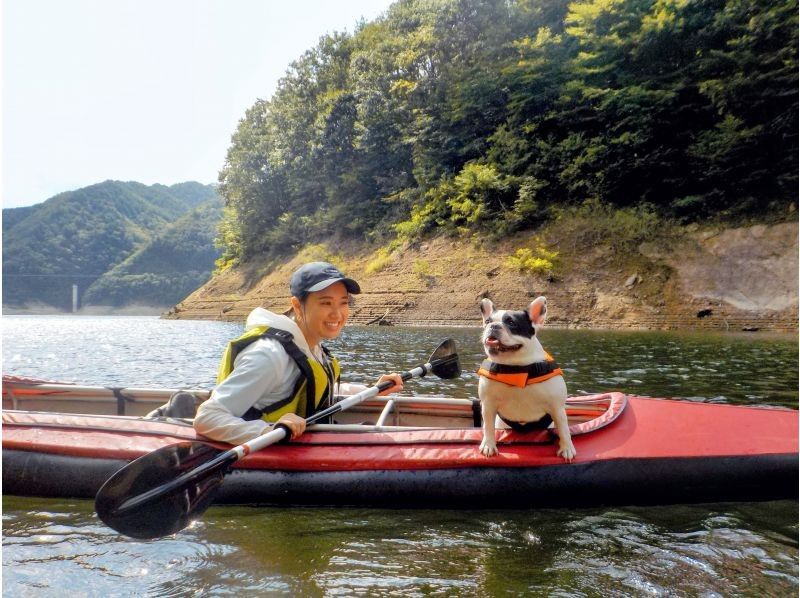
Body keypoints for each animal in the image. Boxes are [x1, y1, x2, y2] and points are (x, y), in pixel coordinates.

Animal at [476, 298, 576, 462]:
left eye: (511, 323)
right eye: (488, 321)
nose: (493, 326)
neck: (516, 366)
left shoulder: (557, 407)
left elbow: (563, 428)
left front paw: (567, 448)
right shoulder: (488, 405)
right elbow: (488, 427)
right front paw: (488, 445)